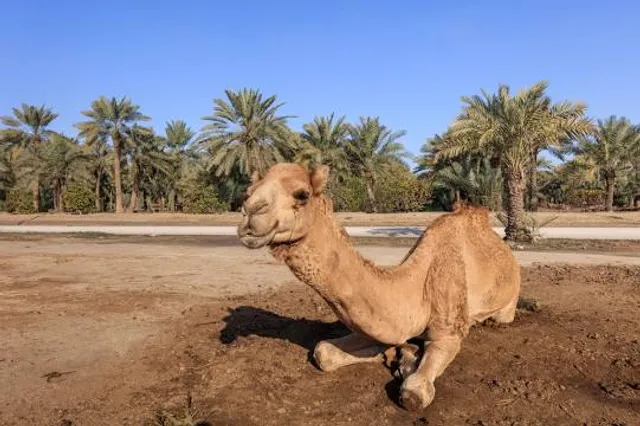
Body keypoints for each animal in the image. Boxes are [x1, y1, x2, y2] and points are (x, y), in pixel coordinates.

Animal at [237, 163, 521, 411]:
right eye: (248, 192)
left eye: (302, 194)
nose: (250, 211)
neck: (415, 289)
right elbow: (323, 351)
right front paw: (395, 355)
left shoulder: (448, 333)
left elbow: (414, 392)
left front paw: (406, 364)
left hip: (507, 304)